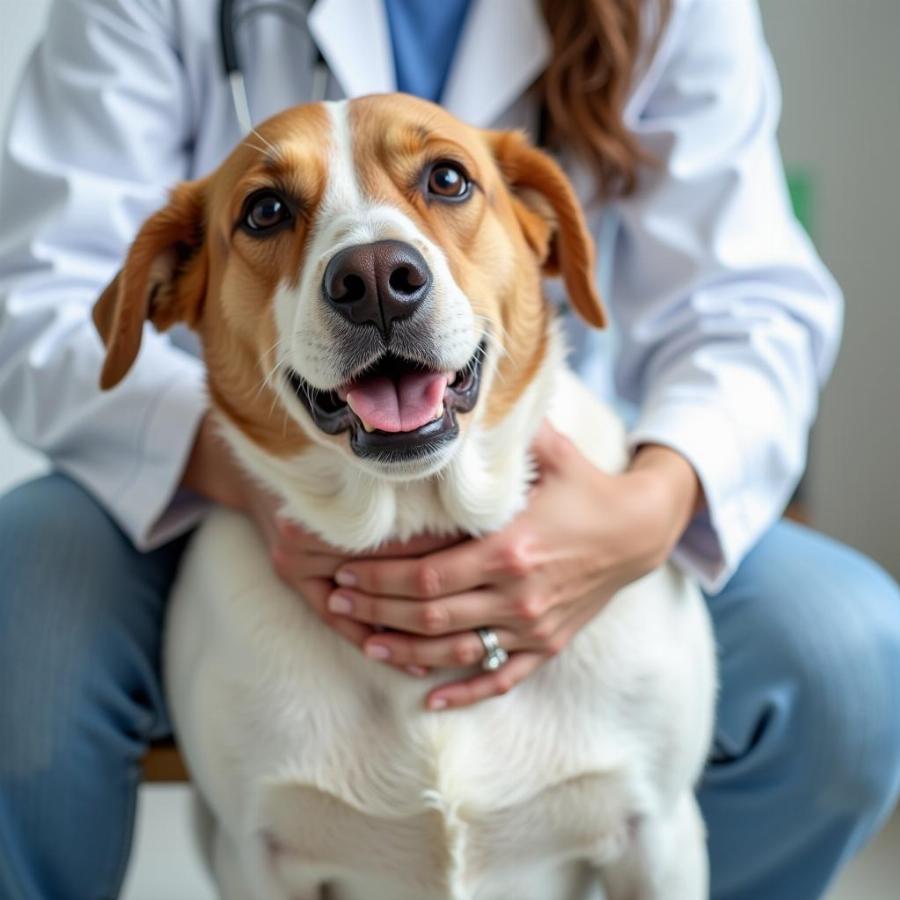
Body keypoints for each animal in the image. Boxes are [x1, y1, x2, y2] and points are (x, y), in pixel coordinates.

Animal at [93, 93, 716, 900]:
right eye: (265, 210)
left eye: (447, 179)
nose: (376, 277)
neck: (416, 510)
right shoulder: (254, 854)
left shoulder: (661, 836)